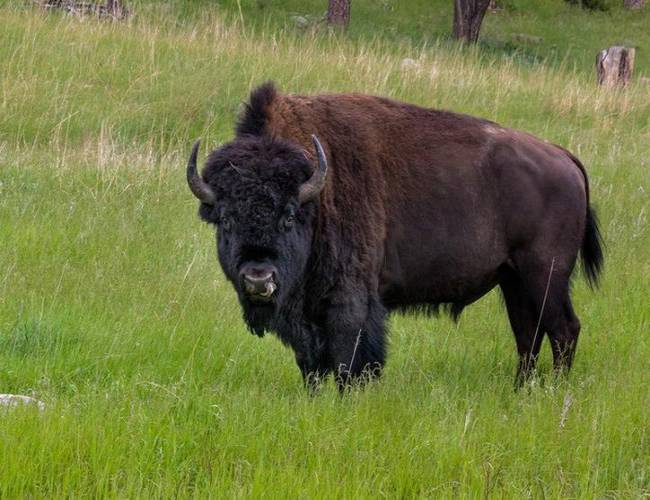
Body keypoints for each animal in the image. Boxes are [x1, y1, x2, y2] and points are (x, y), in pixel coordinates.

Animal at [185, 83, 600, 390]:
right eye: (226, 219)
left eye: (288, 215)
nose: (259, 279)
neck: (315, 195)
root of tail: (564, 157)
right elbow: (311, 363)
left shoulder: (350, 300)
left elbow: (349, 357)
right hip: (513, 279)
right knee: (528, 334)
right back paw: (520, 391)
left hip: (545, 275)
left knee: (564, 329)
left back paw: (554, 391)